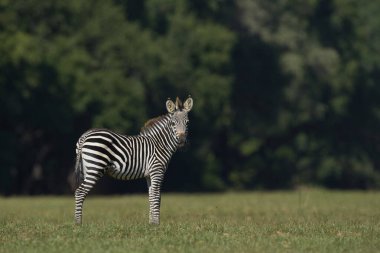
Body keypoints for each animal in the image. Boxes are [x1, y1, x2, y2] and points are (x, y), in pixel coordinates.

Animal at [73, 96, 193, 224]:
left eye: (187, 122)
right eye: (173, 123)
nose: (181, 141)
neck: (160, 144)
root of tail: (85, 135)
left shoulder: (149, 174)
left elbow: (151, 197)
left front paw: (151, 223)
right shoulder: (157, 171)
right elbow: (157, 196)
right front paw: (156, 223)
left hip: (86, 168)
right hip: (95, 168)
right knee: (80, 192)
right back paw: (78, 223)